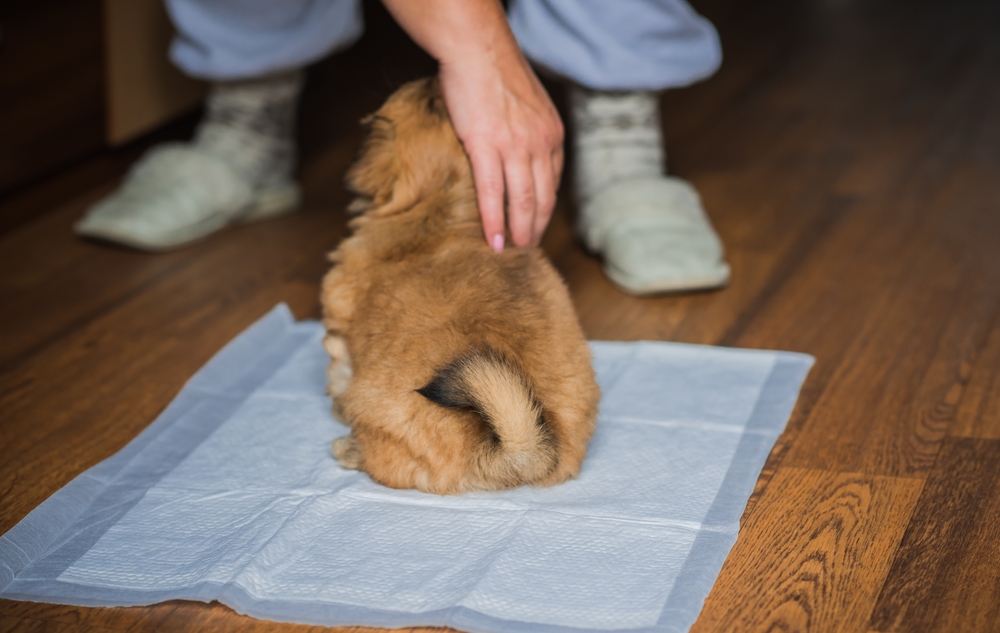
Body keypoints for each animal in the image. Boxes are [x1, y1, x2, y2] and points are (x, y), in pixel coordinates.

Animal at [324, 78, 596, 494]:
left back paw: (348, 446)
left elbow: (336, 365)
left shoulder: (339, 326)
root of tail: (516, 455)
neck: (442, 209)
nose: (434, 77)